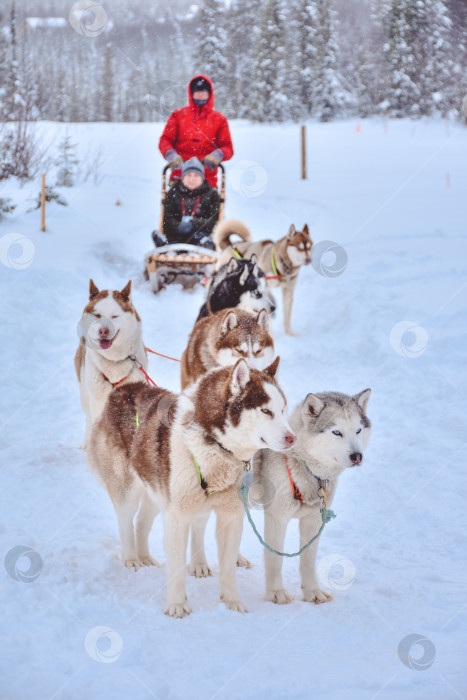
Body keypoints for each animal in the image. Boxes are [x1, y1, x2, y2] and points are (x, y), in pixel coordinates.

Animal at [74, 278, 146, 448]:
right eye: (97, 315)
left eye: (115, 316)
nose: (103, 331)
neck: (114, 360)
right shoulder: (98, 404)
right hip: (85, 395)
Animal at [87, 358, 296, 616]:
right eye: (266, 410)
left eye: (283, 409)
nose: (292, 438)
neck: (217, 446)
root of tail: (125, 389)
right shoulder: (177, 515)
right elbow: (176, 567)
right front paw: (177, 605)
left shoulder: (230, 516)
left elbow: (228, 568)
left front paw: (231, 603)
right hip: (129, 489)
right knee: (126, 521)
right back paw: (131, 558)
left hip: (158, 492)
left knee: (144, 523)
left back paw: (149, 557)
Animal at [250, 392, 372, 604]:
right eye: (337, 432)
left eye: (358, 430)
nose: (357, 456)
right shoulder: (276, 519)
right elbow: (275, 559)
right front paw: (276, 593)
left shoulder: (313, 521)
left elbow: (308, 560)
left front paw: (312, 592)